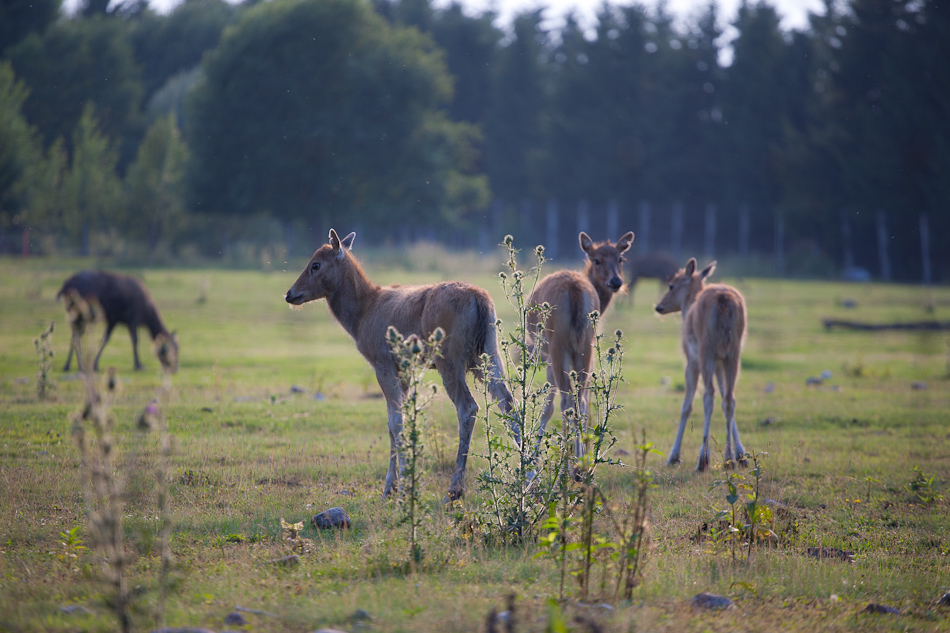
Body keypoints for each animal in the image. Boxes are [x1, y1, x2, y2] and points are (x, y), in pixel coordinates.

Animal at [284, 230, 516, 502]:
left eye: (315, 265)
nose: (290, 293)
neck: (361, 317)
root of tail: (481, 300)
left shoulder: (382, 362)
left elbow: (396, 422)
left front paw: (401, 486)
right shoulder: (405, 369)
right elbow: (395, 422)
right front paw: (392, 486)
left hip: (449, 356)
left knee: (468, 407)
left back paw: (454, 490)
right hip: (490, 350)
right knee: (507, 400)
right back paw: (529, 476)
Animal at [532, 230, 636, 456]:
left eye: (620, 258)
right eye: (597, 260)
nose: (616, 281)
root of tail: (575, 290)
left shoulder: (548, 356)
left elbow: (548, 406)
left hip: (558, 343)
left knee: (567, 400)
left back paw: (569, 459)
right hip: (586, 344)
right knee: (581, 400)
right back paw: (580, 460)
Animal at [660, 256, 748, 470]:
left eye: (671, 285)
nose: (659, 306)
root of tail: (723, 301)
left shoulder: (692, 359)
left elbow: (687, 405)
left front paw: (673, 456)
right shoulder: (720, 361)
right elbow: (726, 397)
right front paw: (741, 455)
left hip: (706, 348)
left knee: (708, 396)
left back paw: (703, 459)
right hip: (733, 351)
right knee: (730, 398)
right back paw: (728, 458)